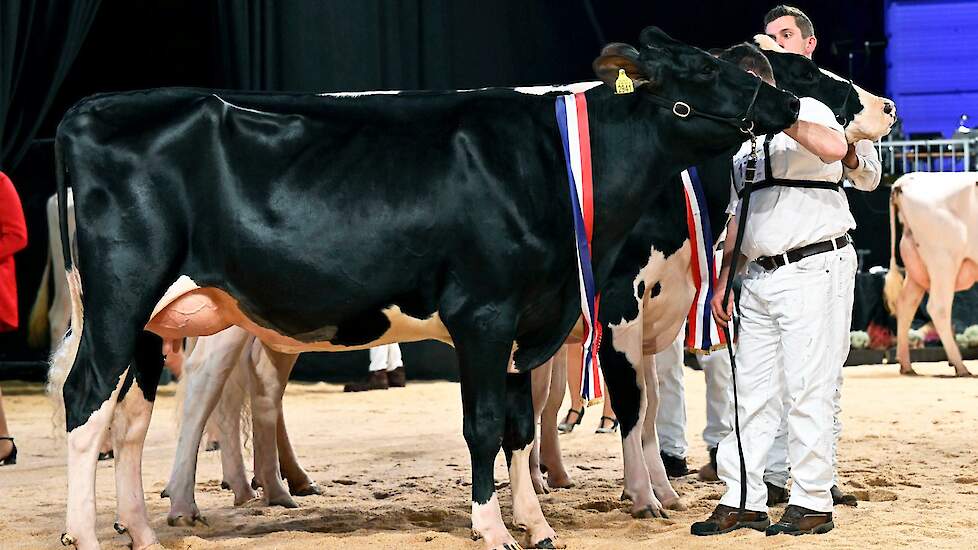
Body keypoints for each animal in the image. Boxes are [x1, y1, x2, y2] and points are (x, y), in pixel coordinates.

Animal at [49, 29, 800, 550]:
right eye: (706, 69)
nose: (789, 100)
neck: (551, 169)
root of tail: (90, 110)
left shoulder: (529, 322)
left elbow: (520, 428)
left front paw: (536, 524)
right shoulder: (487, 315)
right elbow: (485, 425)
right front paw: (492, 527)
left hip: (154, 322)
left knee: (133, 418)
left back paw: (145, 530)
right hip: (123, 298)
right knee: (86, 400)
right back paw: (90, 532)